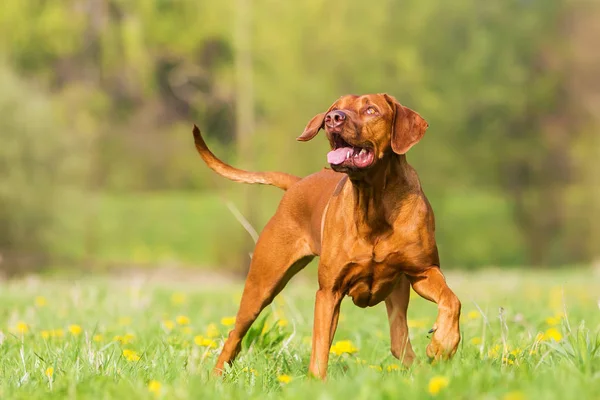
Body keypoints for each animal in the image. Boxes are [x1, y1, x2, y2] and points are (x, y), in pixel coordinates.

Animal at [192, 93, 460, 378]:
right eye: (334, 109)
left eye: (371, 110)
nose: (333, 118)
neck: (373, 203)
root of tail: (296, 183)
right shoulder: (329, 292)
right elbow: (320, 349)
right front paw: (316, 382)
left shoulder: (423, 271)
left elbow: (452, 300)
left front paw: (443, 343)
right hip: (261, 283)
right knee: (236, 332)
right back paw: (215, 376)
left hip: (396, 289)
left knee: (399, 340)